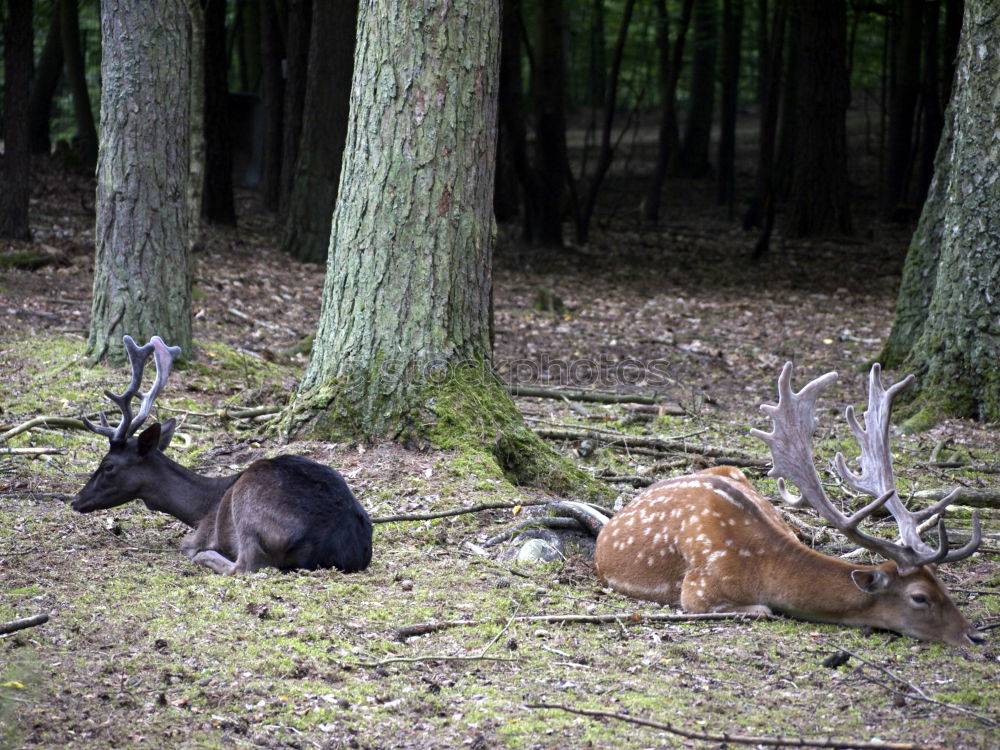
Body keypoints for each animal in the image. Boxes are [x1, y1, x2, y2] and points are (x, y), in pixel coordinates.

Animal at [72, 334, 372, 576]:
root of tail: (335, 544)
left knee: (245, 565)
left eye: (108, 465)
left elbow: (186, 543)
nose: (76, 500)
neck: (201, 506)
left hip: (249, 511)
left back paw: (205, 556)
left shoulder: (203, 530)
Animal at [592, 362, 984, 648]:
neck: (758, 564)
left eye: (943, 585)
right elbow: (764, 610)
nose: (974, 636)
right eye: (920, 597)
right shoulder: (698, 592)